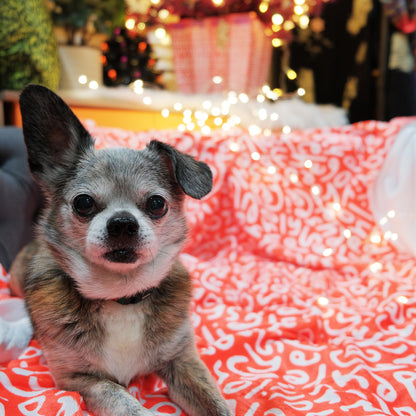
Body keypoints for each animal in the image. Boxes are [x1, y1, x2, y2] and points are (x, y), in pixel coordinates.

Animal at [10, 84, 231, 416]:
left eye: (157, 204)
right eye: (83, 203)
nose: (123, 223)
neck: (121, 298)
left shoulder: (182, 361)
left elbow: (216, 404)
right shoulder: (79, 379)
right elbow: (121, 399)